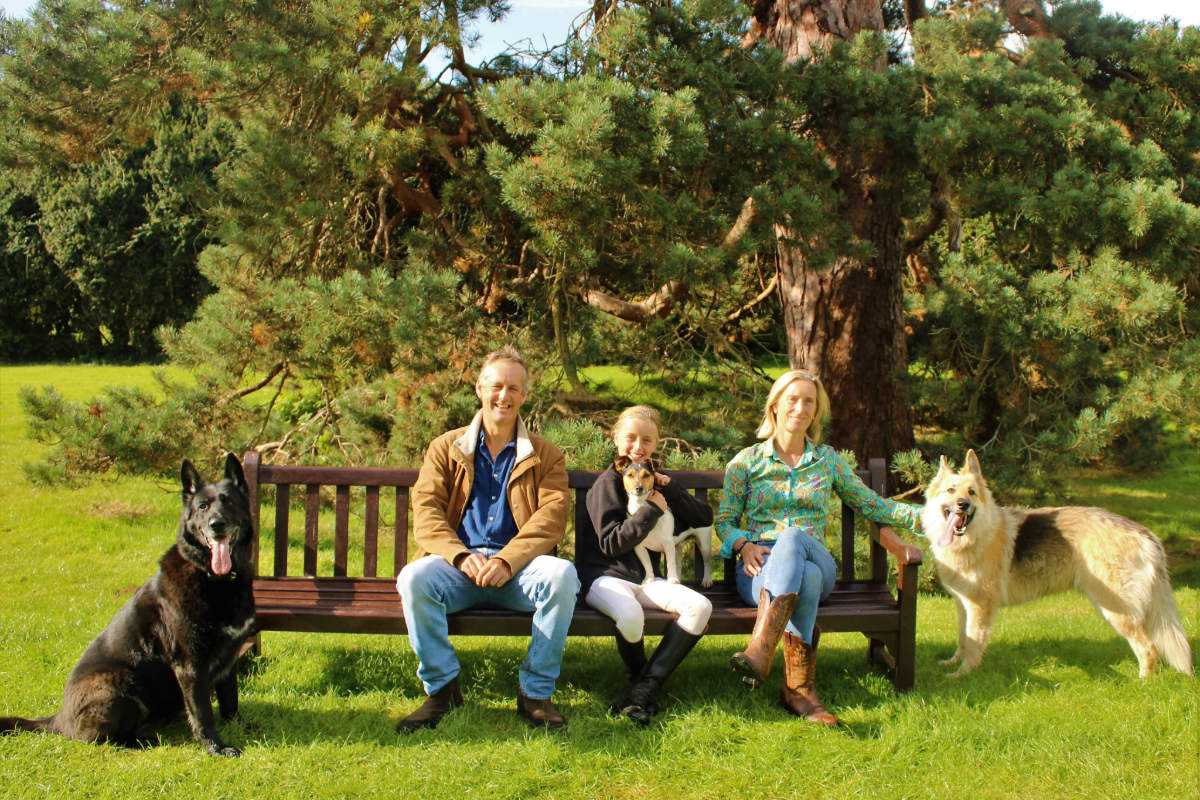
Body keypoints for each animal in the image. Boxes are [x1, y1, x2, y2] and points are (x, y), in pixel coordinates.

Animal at [1, 453, 255, 753]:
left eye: (229, 502)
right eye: (203, 506)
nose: (217, 525)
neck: (214, 579)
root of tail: (60, 719)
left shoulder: (230, 657)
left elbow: (230, 699)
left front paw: (238, 725)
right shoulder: (191, 664)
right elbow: (203, 711)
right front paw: (215, 747)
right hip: (118, 684)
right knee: (100, 739)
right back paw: (144, 740)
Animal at [916, 450, 1190, 676]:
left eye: (971, 492)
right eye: (951, 491)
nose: (963, 505)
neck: (979, 537)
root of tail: (1145, 532)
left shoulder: (980, 607)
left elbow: (974, 643)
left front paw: (963, 675)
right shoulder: (963, 605)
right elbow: (963, 639)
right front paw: (954, 663)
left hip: (1114, 609)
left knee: (1148, 648)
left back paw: (1143, 683)